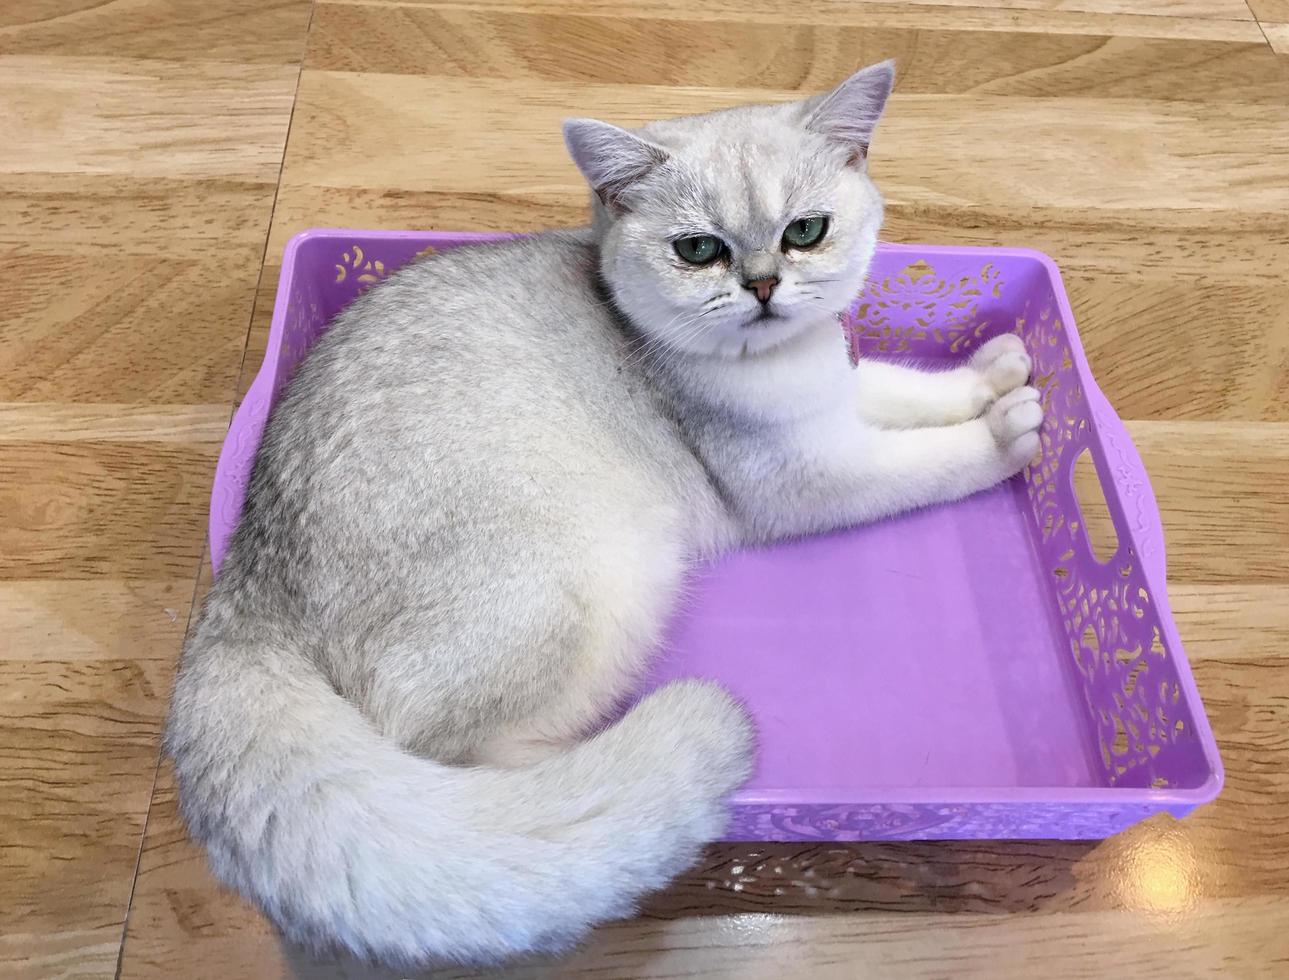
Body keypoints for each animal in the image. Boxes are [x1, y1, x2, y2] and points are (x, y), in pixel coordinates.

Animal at [166, 63, 1041, 974]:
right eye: (698, 250)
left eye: (805, 232)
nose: (763, 285)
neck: (781, 365)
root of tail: (246, 586)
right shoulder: (810, 476)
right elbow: (928, 463)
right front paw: (1005, 430)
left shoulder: (838, 400)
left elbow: (906, 387)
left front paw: (992, 372)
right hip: (590, 585)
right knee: (462, 757)